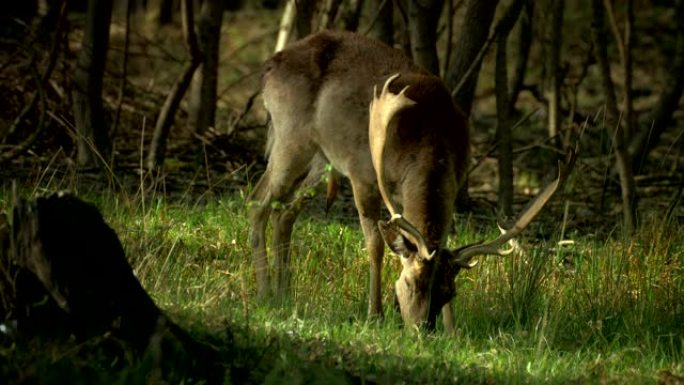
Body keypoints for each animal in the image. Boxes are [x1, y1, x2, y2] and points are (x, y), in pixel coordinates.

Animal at [248, 30, 576, 330]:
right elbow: (376, 245)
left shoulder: (451, 183)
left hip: (321, 159)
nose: (423, 330)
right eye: (409, 284)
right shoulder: (361, 173)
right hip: (291, 137)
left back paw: (284, 292)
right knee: (258, 200)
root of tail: (270, 66)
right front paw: (375, 315)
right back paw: (263, 293)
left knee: (284, 213)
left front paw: (452, 331)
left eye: (449, 292)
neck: (429, 142)